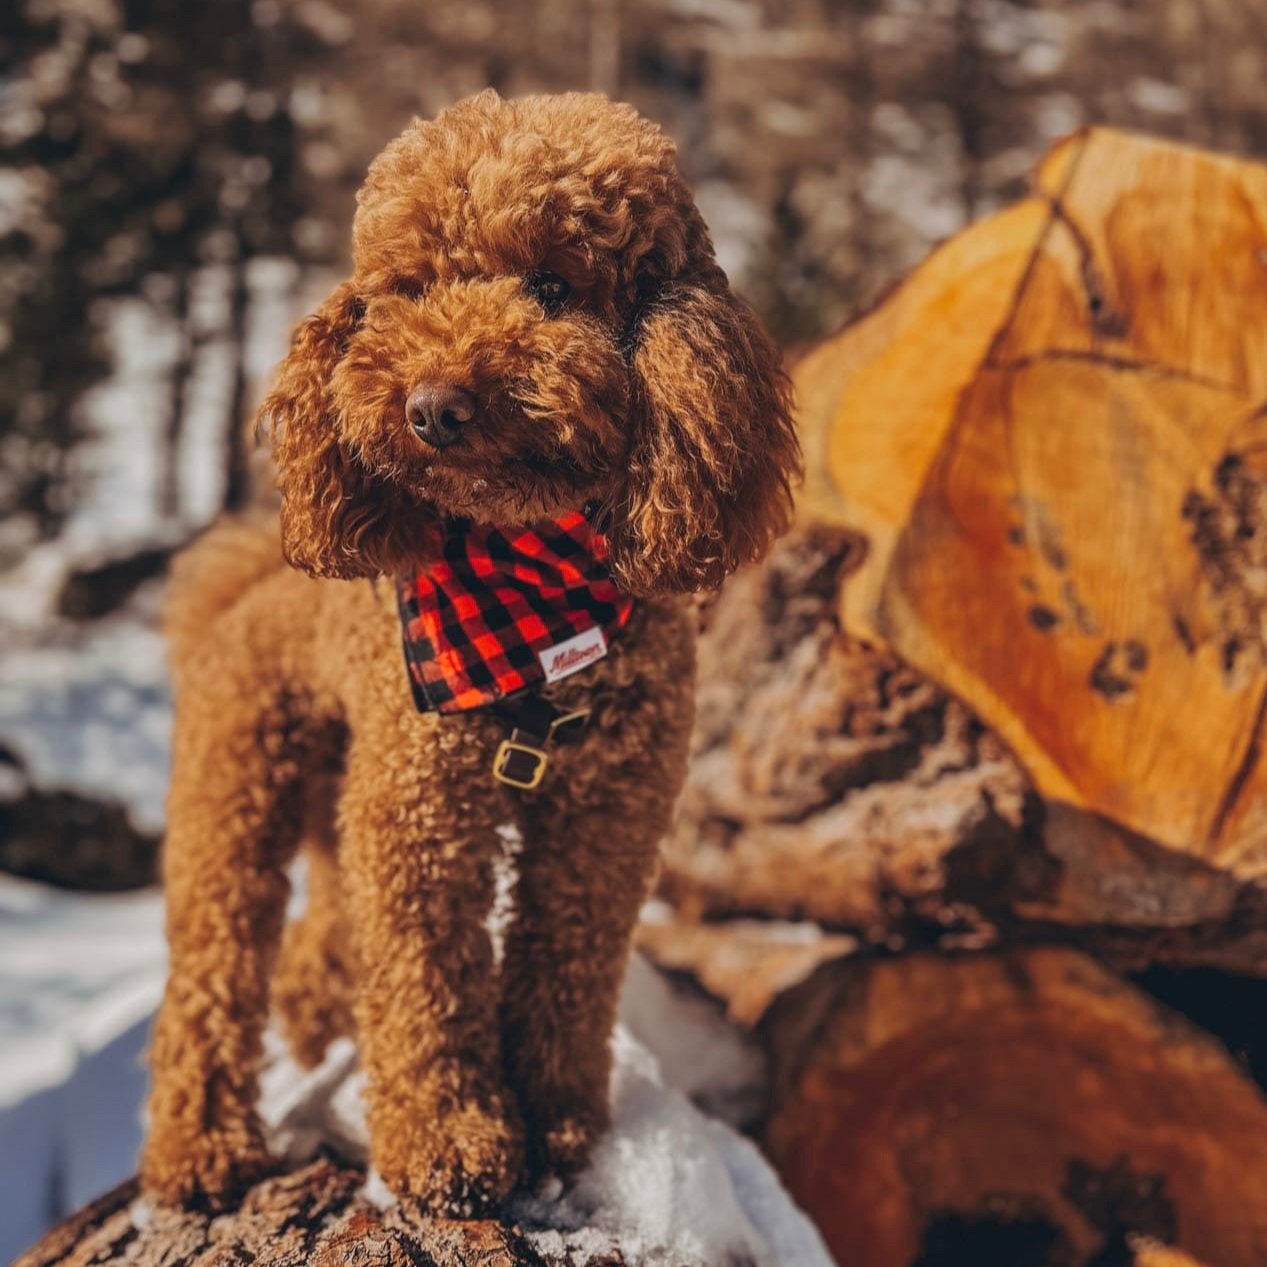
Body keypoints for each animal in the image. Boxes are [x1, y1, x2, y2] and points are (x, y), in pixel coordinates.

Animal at [143, 89, 795, 1216]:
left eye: (553, 286)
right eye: (407, 290)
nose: (435, 407)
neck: (532, 599)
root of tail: (245, 587)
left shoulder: (606, 816)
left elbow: (566, 971)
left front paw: (561, 1123)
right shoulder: (420, 804)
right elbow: (428, 981)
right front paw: (449, 1142)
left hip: (337, 798)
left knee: (318, 945)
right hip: (237, 797)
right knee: (212, 972)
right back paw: (200, 1149)